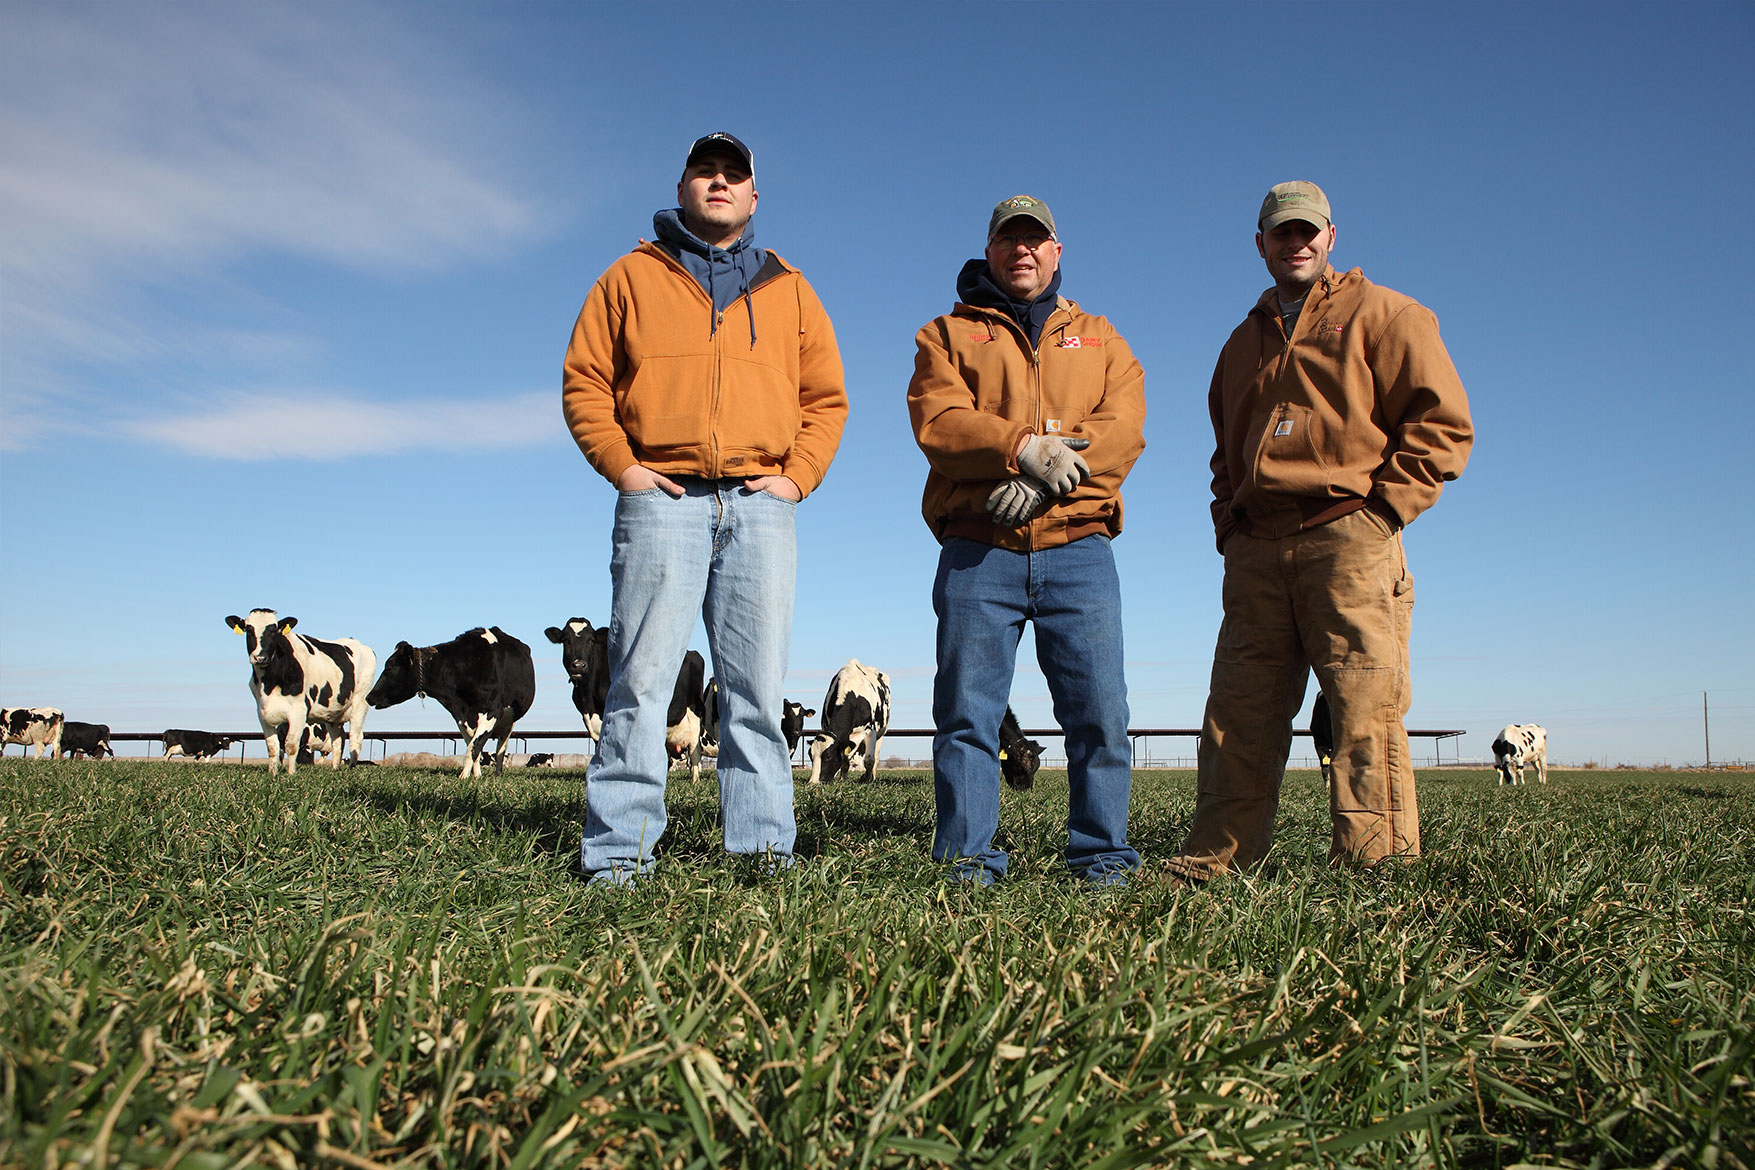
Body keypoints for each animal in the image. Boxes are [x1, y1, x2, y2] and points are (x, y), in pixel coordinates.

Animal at [224, 610, 375, 771]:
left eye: (274, 631)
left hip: (360, 703)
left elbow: (291, 746)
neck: (269, 682)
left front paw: (291, 773)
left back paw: (350, 767)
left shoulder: (299, 711)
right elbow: (272, 747)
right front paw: (272, 773)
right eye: (248, 630)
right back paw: (335, 769)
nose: (260, 657)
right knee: (338, 739)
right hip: (333, 713)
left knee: (356, 737)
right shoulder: (262, 712)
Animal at [366, 627, 537, 782]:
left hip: (509, 721)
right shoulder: (460, 716)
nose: (369, 697)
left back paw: (498, 774)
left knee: (501, 748)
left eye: (389, 668)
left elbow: (473, 748)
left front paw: (463, 777)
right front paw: (476, 776)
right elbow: (473, 747)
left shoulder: (492, 712)